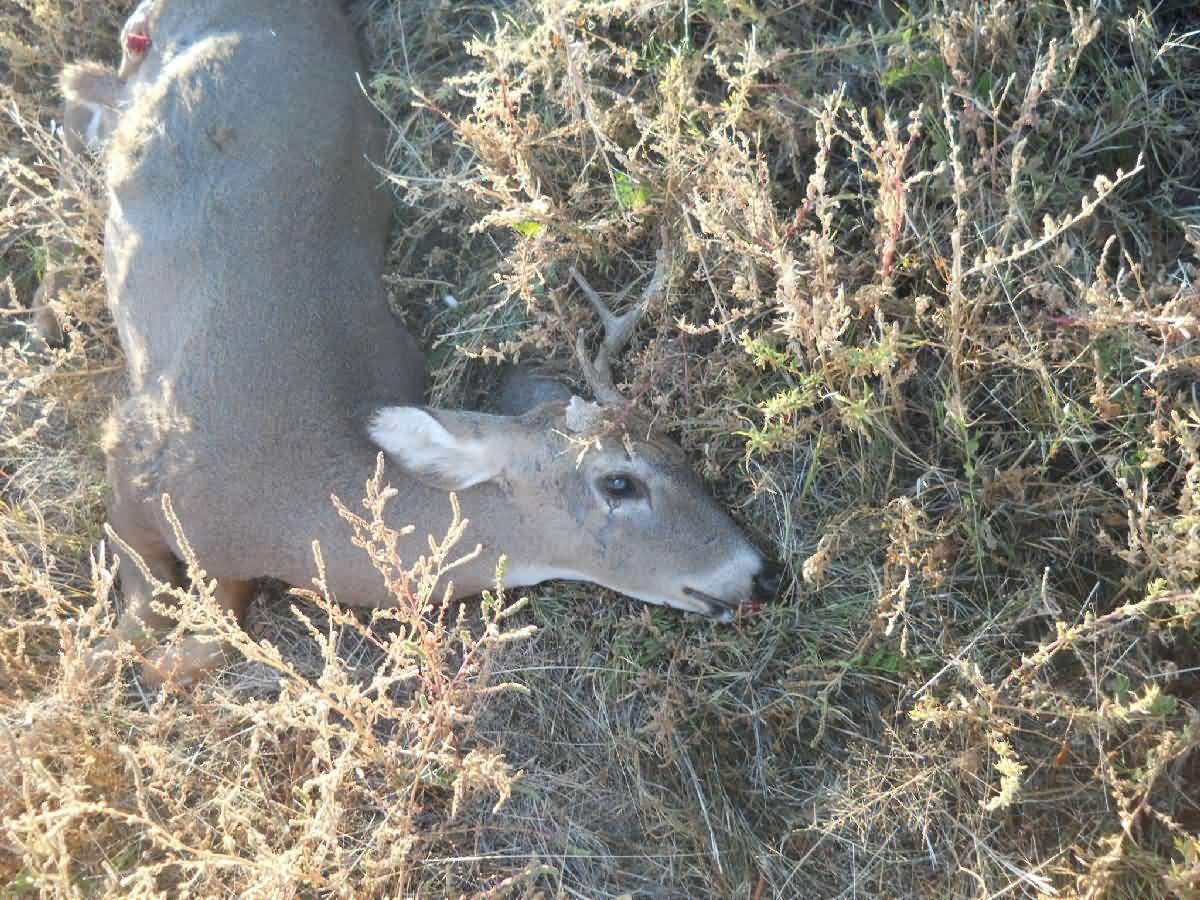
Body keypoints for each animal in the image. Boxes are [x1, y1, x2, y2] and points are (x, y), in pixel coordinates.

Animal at [52, 0, 782, 687]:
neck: (289, 506)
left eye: (679, 450)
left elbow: (204, 628)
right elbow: (145, 618)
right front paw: (97, 663)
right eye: (621, 482)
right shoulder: (130, 456)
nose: (759, 572)